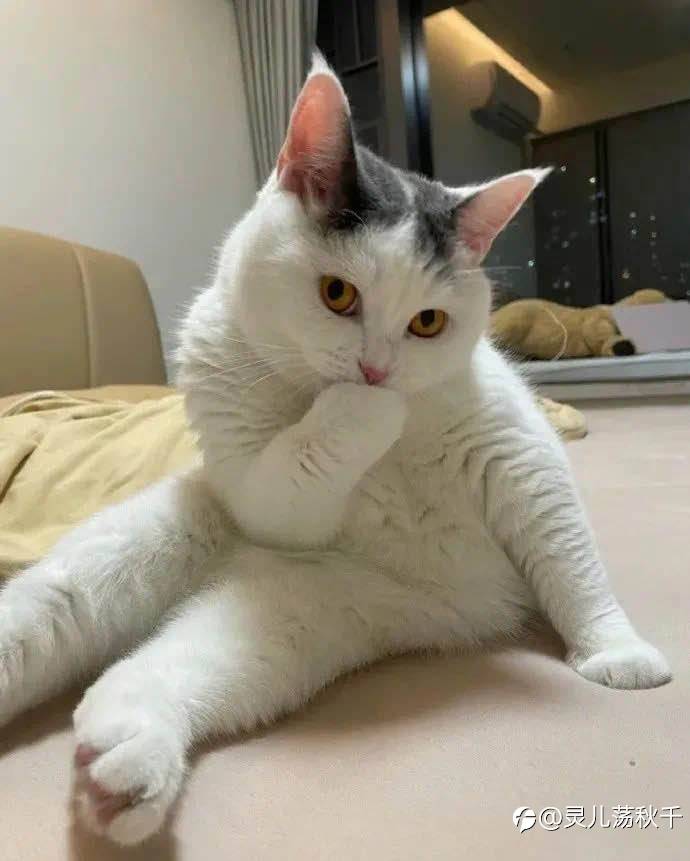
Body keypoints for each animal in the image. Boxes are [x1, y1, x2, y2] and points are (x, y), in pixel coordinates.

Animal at [0, 55, 670, 846]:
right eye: (337, 294)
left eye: (428, 321)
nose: (376, 371)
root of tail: (229, 571)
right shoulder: (264, 495)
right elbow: (295, 467)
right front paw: (365, 410)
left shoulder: (521, 460)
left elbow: (570, 560)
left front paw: (617, 654)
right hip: (130, 549)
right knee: (56, 612)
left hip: (296, 615)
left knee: (153, 672)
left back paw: (123, 767)